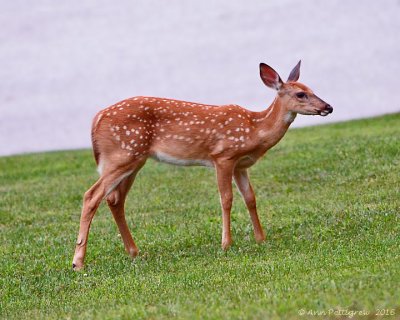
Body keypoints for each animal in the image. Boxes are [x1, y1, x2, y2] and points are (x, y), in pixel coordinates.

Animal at [72, 60, 332, 270]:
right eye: (300, 94)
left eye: (312, 89)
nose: (328, 107)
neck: (254, 130)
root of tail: (96, 119)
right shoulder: (223, 156)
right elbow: (226, 199)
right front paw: (226, 244)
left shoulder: (241, 165)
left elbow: (250, 198)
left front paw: (261, 238)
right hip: (122, 155)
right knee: (91, 195)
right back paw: (78, 262)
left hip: (133, 161)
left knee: (115, 200)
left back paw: (133, 251)